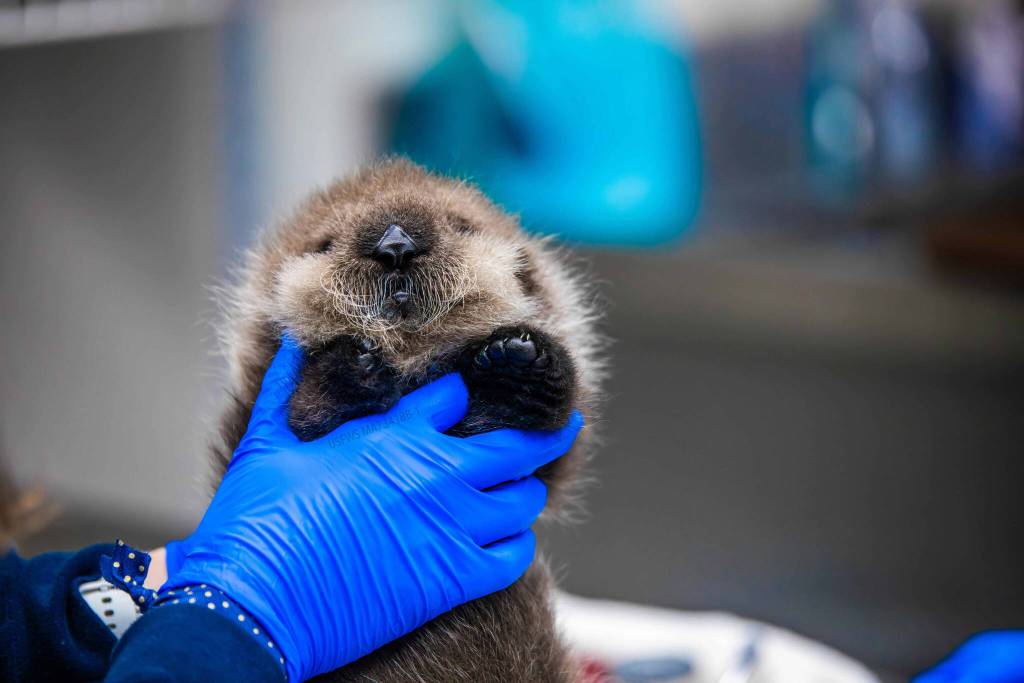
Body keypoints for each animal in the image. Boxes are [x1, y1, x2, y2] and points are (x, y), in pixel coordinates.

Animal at [210, 159, 605, 682]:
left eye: (460, 225)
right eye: (325, 243)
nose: (396, 244)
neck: (414, 366)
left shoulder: (546, 470)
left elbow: (553, 447)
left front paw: (519, 361)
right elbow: (306, 415)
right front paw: (351, 364)